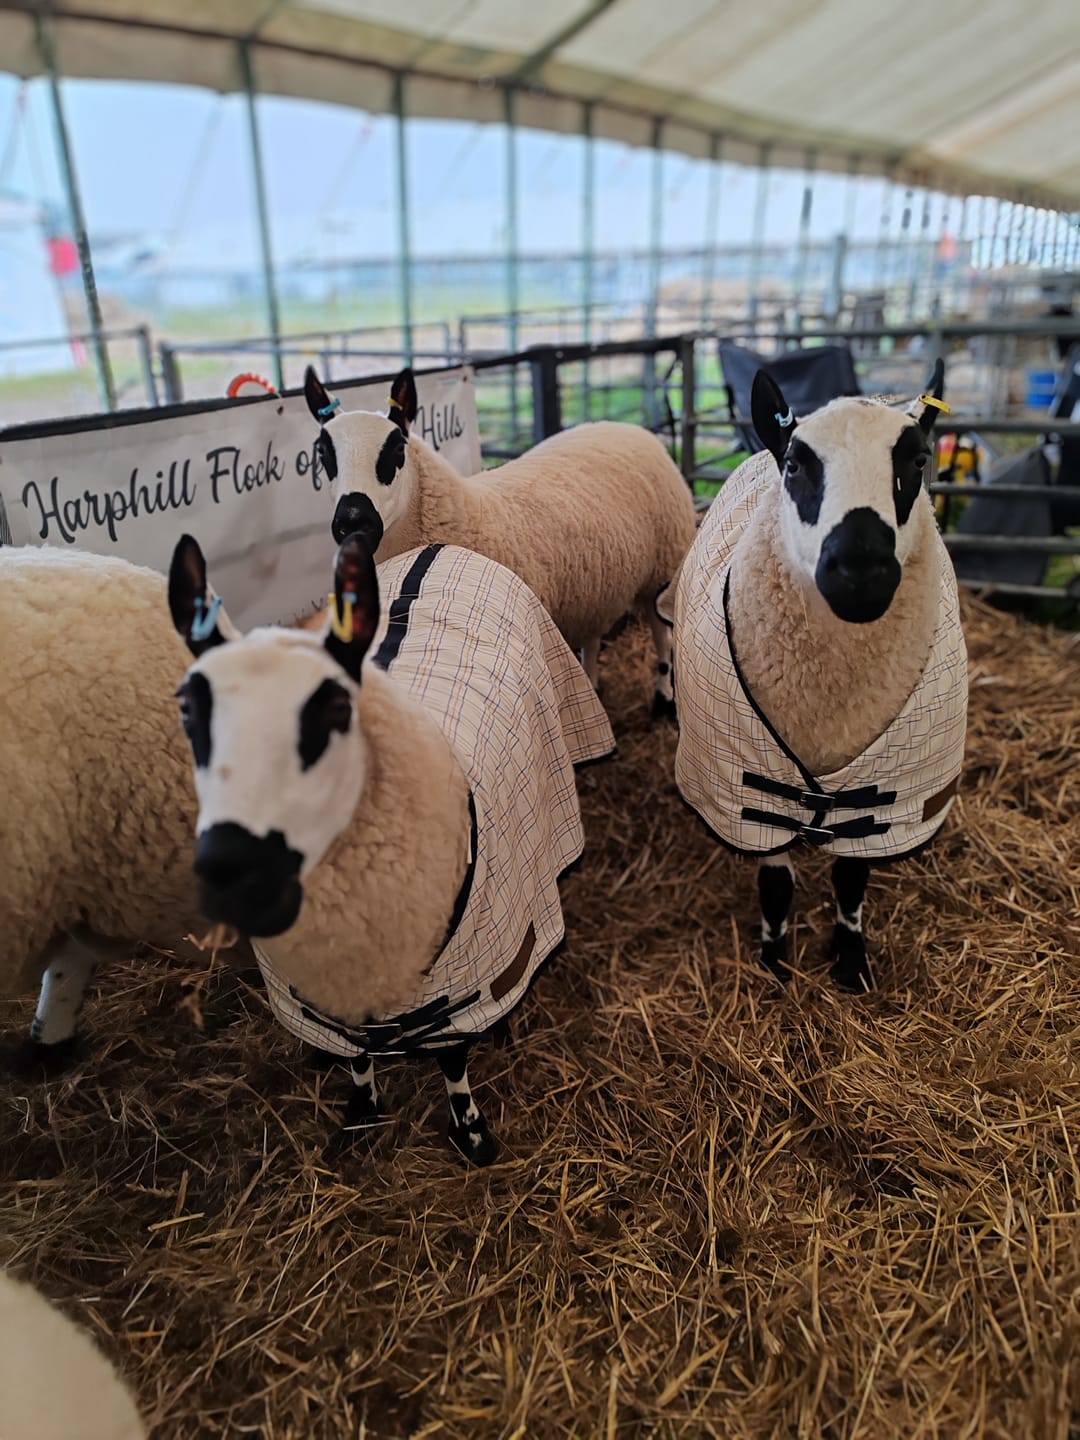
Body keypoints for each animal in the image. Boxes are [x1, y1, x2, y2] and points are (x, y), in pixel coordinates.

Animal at [166, 531, 615, 1164]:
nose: (233, 867)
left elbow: (452, 1058)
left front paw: (471, 1132)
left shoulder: (462, 981)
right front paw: (361, 1110)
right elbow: (357, 1055)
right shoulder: (333, 995)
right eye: (187, 707)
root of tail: (439, 546)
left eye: (335, 707)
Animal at [304, 364, 698, 717]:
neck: (464, 514)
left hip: (663, 565)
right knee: (593, 633)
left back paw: (664, 697)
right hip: (594, 586)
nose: (354, 522)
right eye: (323, 453)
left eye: (397, 450)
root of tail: (626, 427)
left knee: (662, 634)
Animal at [671, 361, 968, 991]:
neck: (829, 712)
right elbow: (776, 882)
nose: (860, 570)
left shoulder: (889, 797)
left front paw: (851, 961)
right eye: (796, 464)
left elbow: (850, 881)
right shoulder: (748, 785)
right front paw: (775, 964)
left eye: (918, 460)